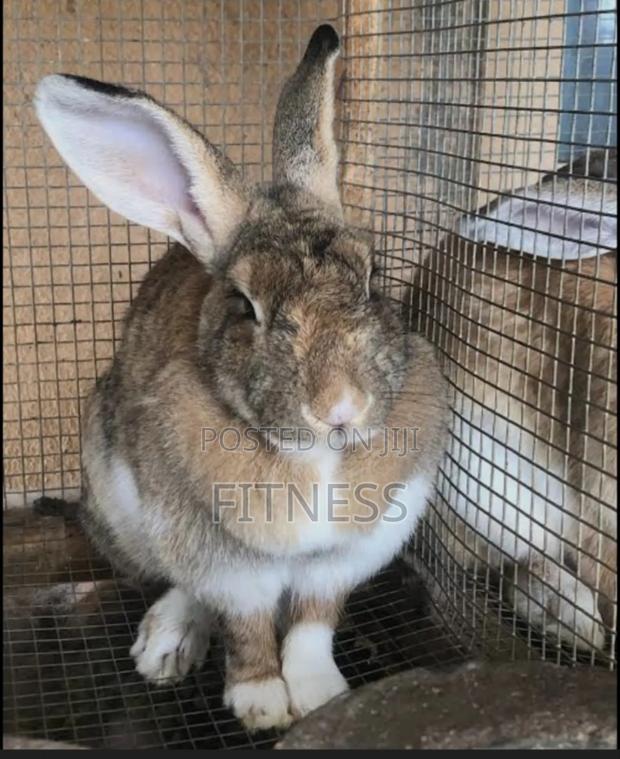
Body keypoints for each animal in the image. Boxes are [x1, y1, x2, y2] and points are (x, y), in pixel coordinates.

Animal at [34, 25, 449, 732]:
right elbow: (248, 625)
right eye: (246, 305)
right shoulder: (222, 557)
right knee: (182, 587)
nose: (341, 407)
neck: (314, 458)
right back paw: (165, 645)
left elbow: (311, 623)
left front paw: (322, 695)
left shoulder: (344, 558)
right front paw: (259, 703)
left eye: (372, 279)